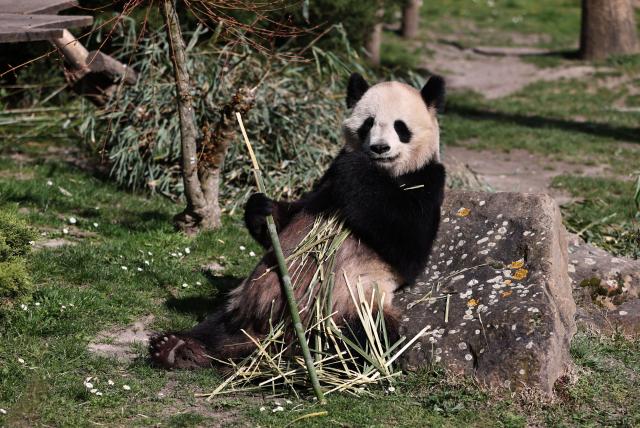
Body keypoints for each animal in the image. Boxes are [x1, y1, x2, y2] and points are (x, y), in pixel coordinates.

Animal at [149, 73, 446, 369]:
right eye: (368, 124)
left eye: (400, 127)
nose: (379, 148)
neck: (386, 172)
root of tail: (277, 334)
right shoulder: (325, 180)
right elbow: (291, 216)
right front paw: (262, 208)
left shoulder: (428, 181)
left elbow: (407, 247)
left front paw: (356, 169)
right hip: (245, 300)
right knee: (220, 323)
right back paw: (178, 348)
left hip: (352, 303)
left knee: (363, 338)